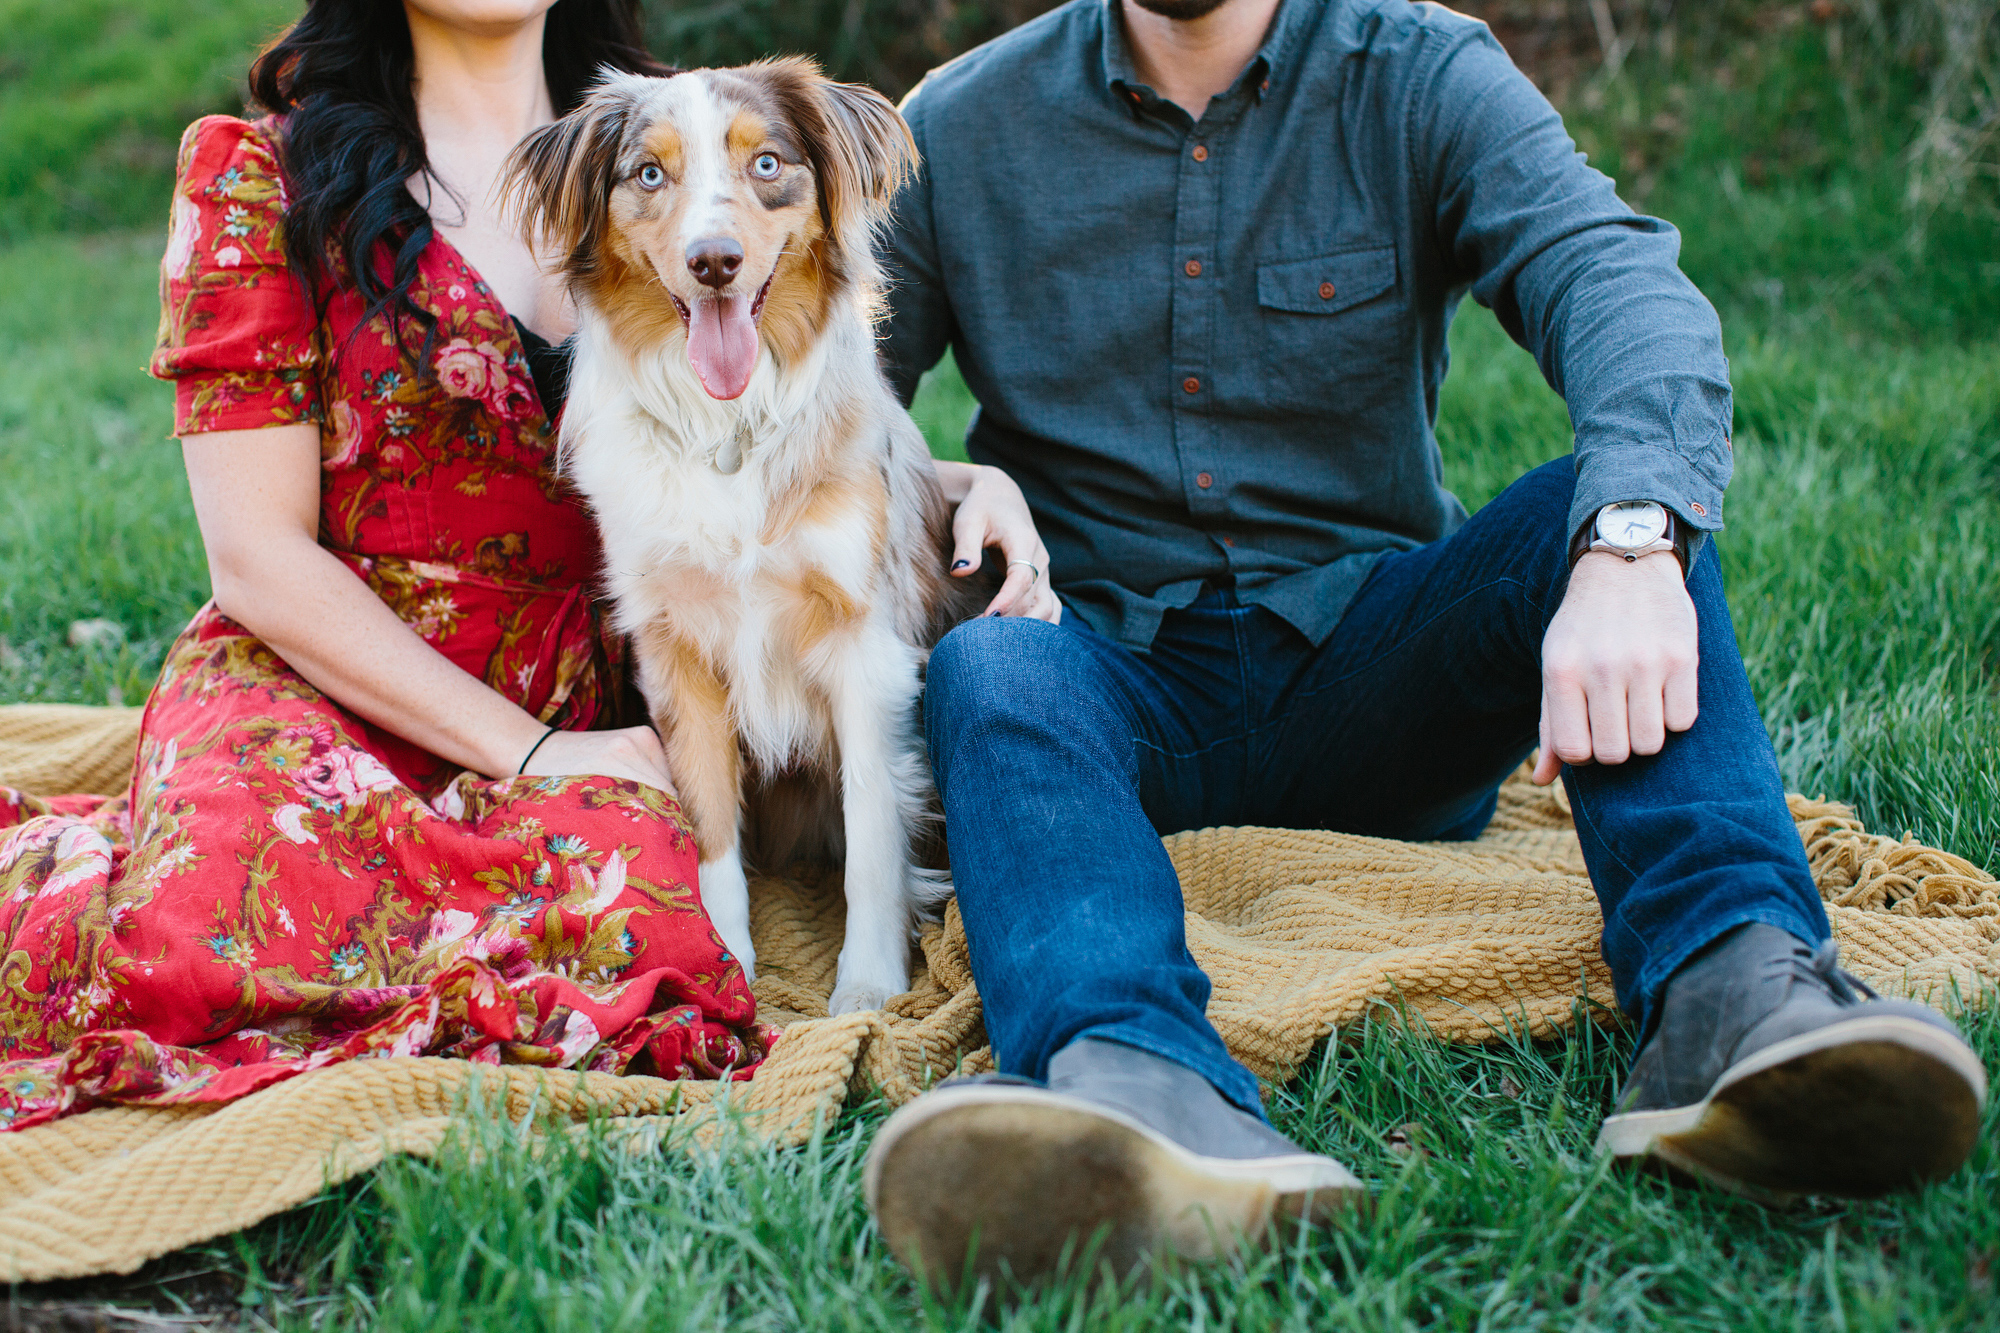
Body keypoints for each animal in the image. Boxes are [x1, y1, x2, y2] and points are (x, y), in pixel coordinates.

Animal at [508, 52, 984, 1008]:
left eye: (766, 163)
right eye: (648, 174)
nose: (714, 262)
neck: (727, 427)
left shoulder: (864, 641)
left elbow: (873, 829)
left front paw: (867, 986)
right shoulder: (674, 648)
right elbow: (710, 824)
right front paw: (726, 962)